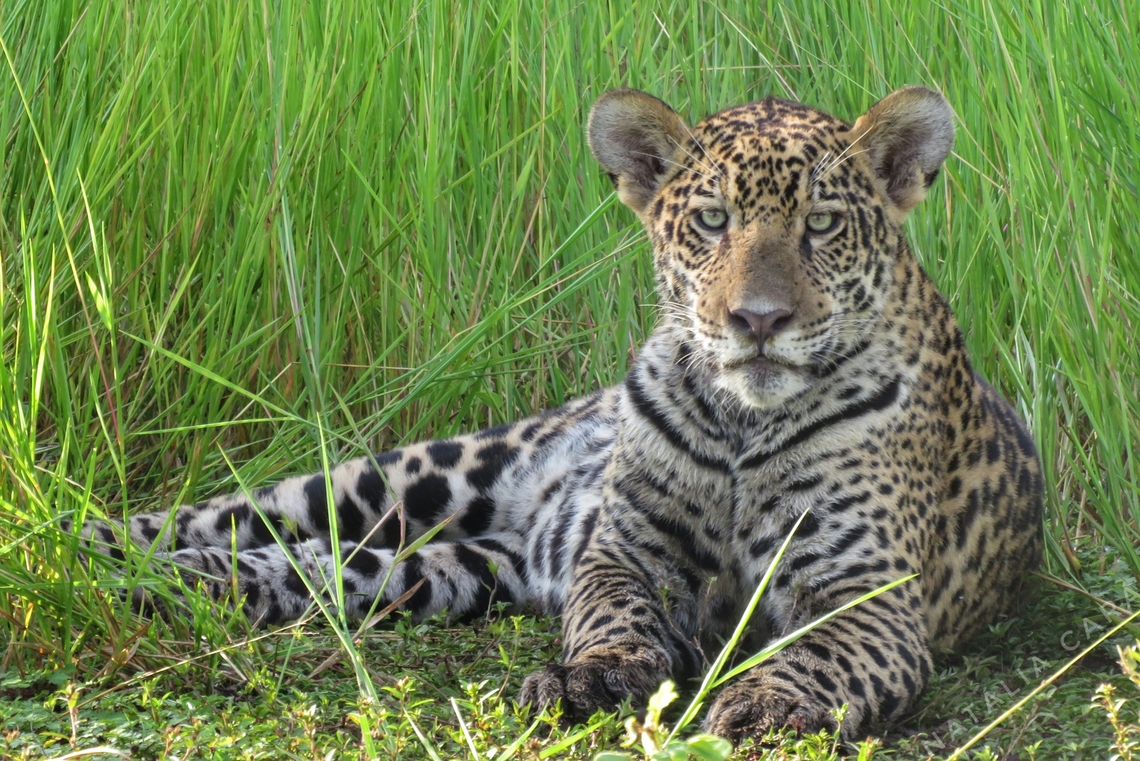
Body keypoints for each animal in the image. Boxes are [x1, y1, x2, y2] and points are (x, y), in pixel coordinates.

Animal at [72, 86, 1043, 743]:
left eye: (824, 225)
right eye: (711, 220)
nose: (758, 320)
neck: (742, 425)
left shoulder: (869, 592)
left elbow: (821, 654)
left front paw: (765, 698)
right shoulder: (626, 551)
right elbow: (612, 613)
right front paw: (596, 678)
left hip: (440, 569)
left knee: (297, 567)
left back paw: (155, 583)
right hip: (418, 475)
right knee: (229, 511)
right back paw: (75, 547)